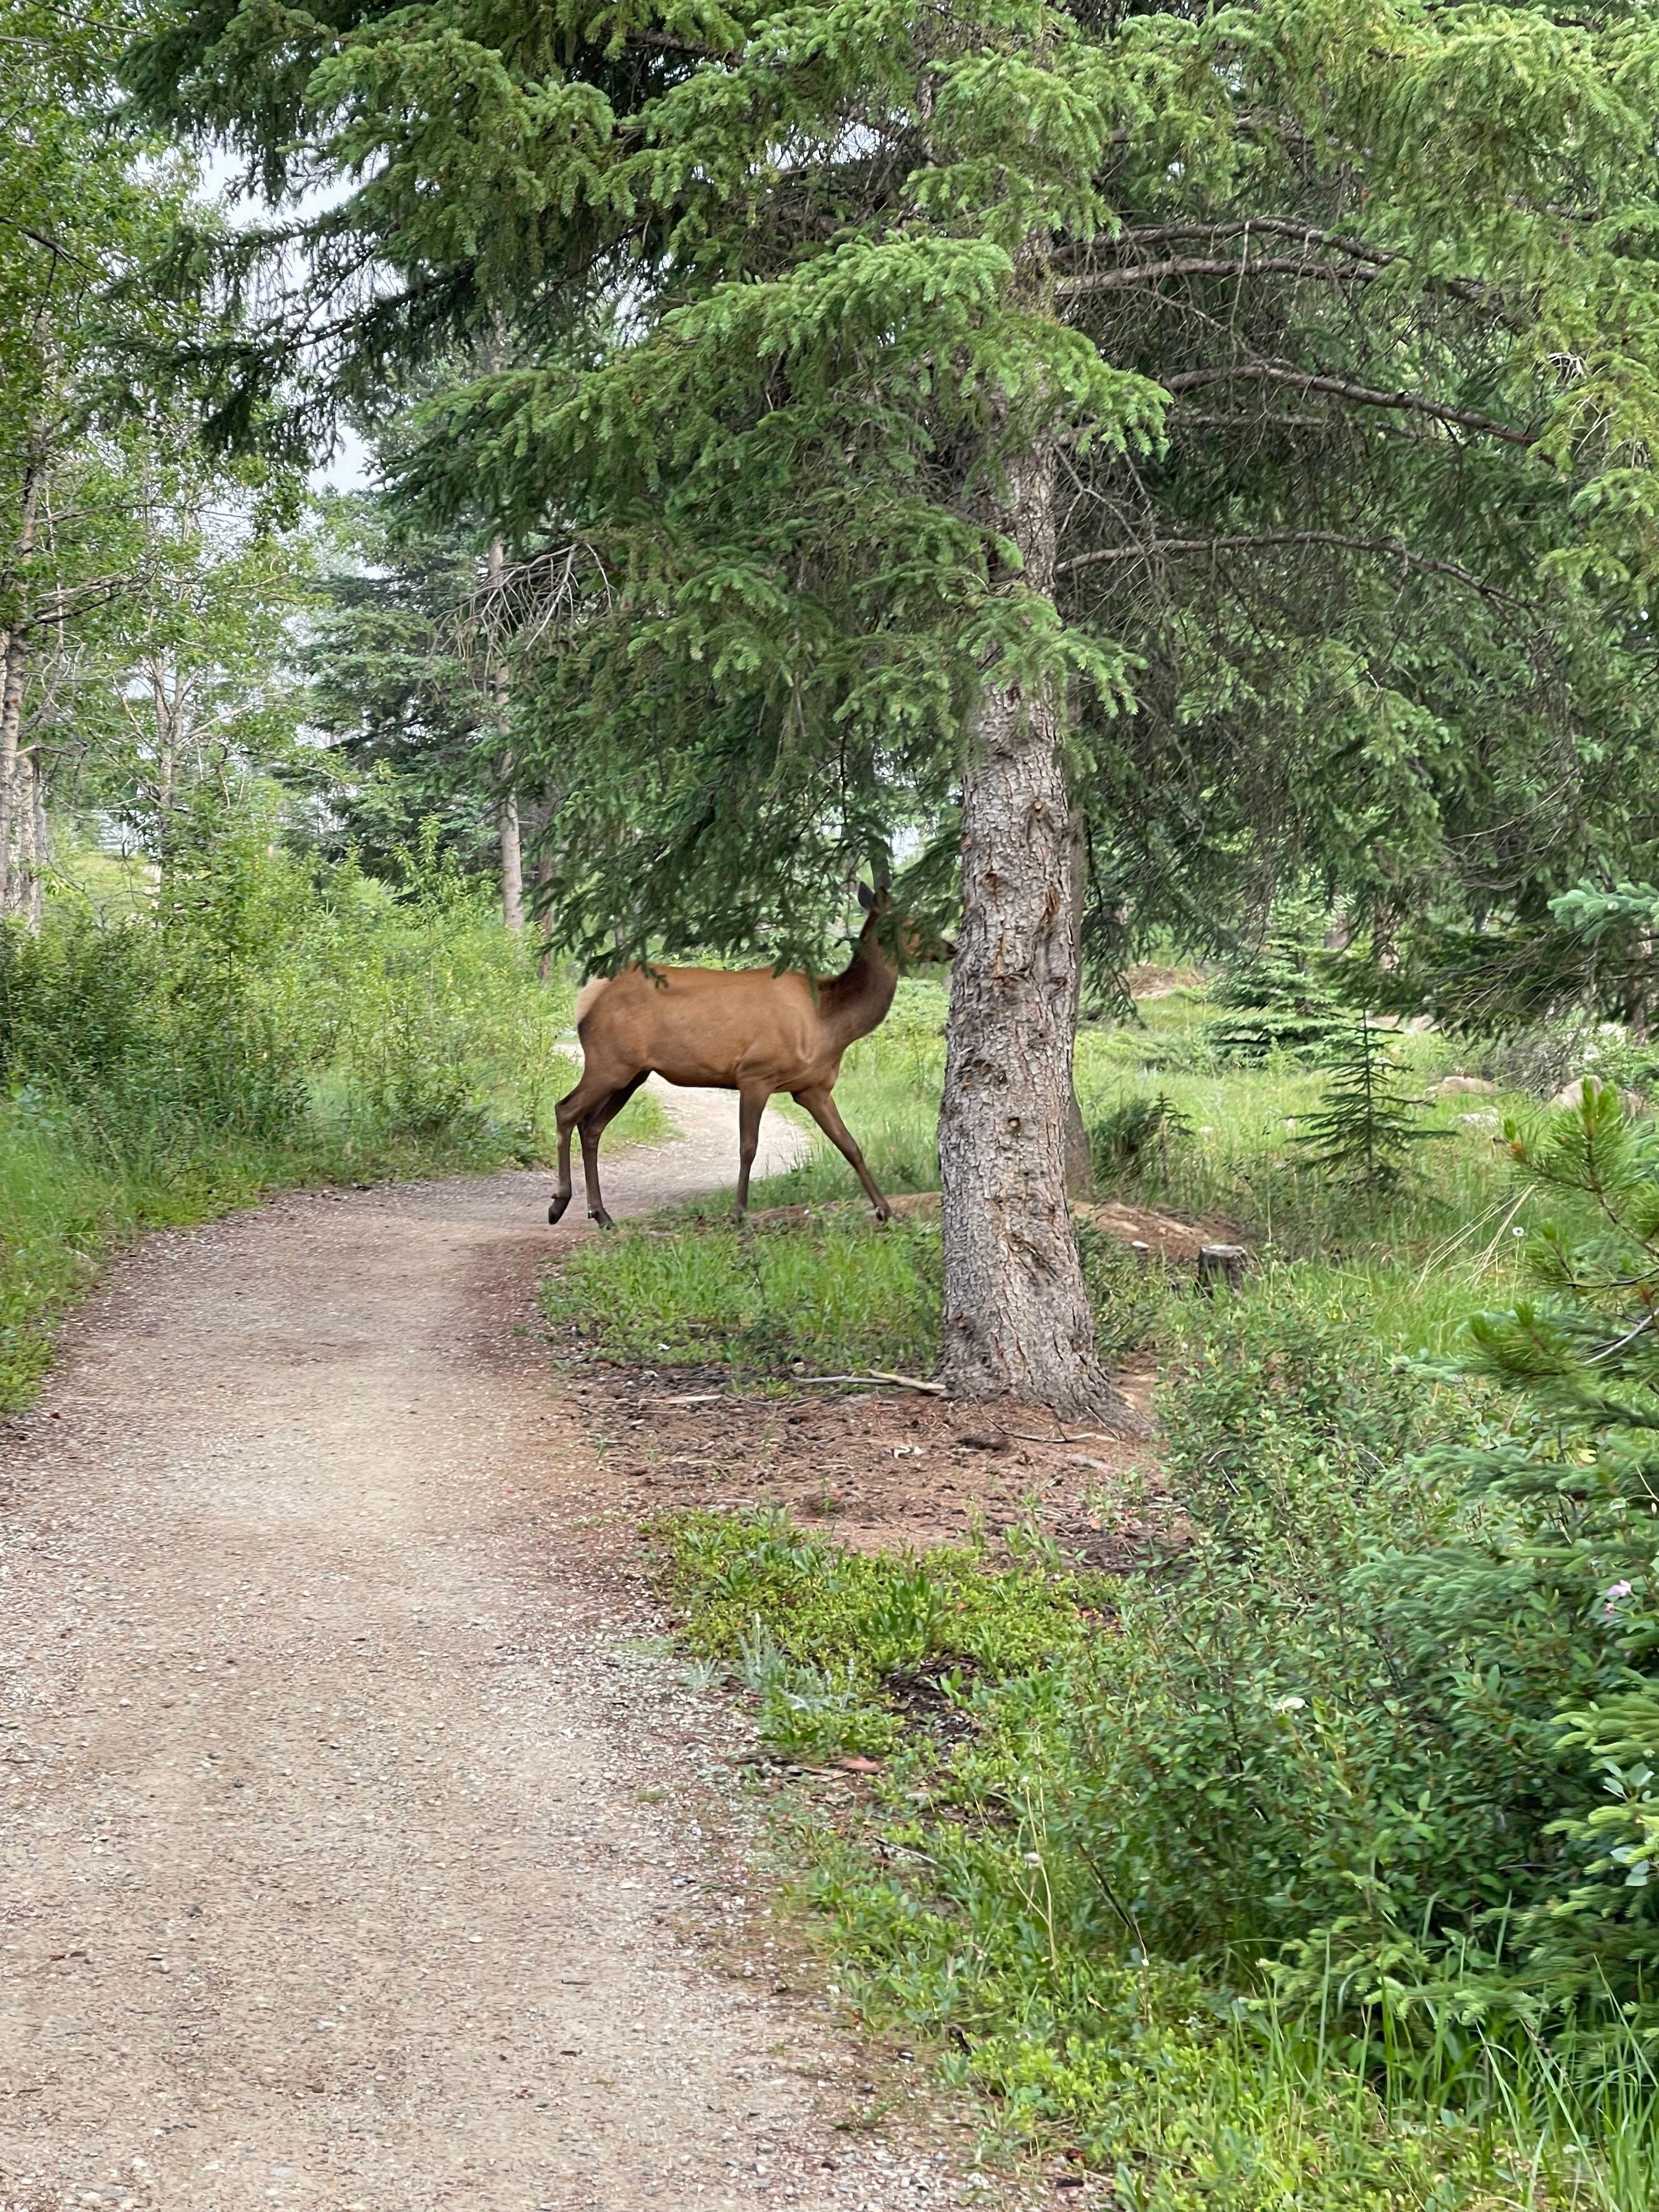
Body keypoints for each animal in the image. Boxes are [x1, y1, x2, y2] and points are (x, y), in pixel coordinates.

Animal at [546, 884, 916, 1229]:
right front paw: (739, 1213)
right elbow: (748, 1146)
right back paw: (559, 1204)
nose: (939, 946)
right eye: (911, 922)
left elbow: (850, 1145)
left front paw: (884, 1209)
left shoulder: (813, 1088)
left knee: (591, 1127)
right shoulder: (755, 1074)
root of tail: (588, 997)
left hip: (632, 1074)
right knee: (565, 1109)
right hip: (610, 1063)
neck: (829, 1024)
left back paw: (601, 1214)